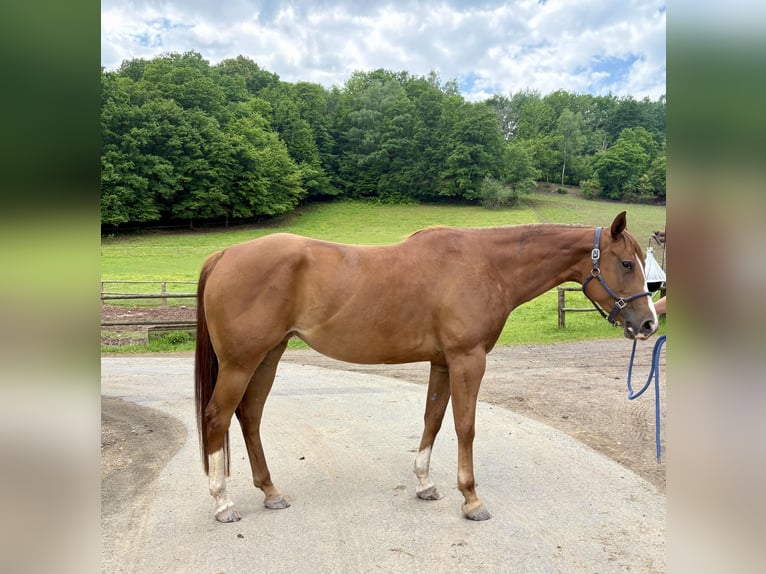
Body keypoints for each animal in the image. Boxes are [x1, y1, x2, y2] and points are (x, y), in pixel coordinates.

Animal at [195, 211, 658, 523]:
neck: (486, 265)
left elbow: (432, 419)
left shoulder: (442, 362)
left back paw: (270, 492)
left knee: (250, 416)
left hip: (268, 356)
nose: (648, 324)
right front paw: (471, 499)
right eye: (626, 263)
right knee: (217, 417)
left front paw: (426, 484)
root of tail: (225, 254)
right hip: (240, 363)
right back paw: (222, 502)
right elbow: (465, 426)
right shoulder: (468, 359)